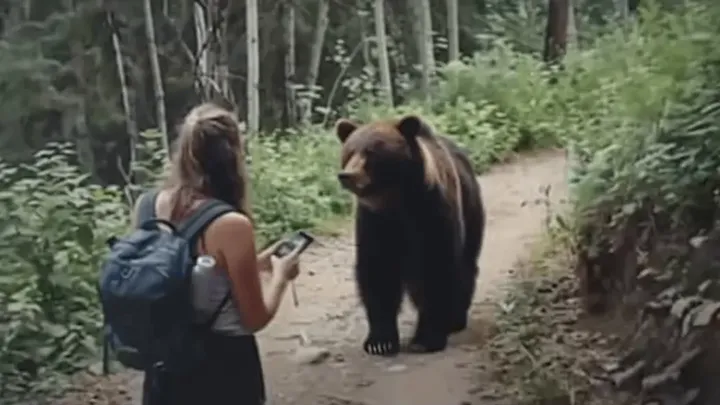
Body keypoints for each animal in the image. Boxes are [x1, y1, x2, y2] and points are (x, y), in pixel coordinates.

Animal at [333, 114, 486, 356]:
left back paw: (455, 318)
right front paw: (380, 342)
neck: (397, 202)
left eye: (371, 152)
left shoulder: (432, 212)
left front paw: (427, 338)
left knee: (465, 265)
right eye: (349, 151)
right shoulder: (374, 222)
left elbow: (436, 269)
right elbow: (377, 272)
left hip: (471, 208)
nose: (347, 175)